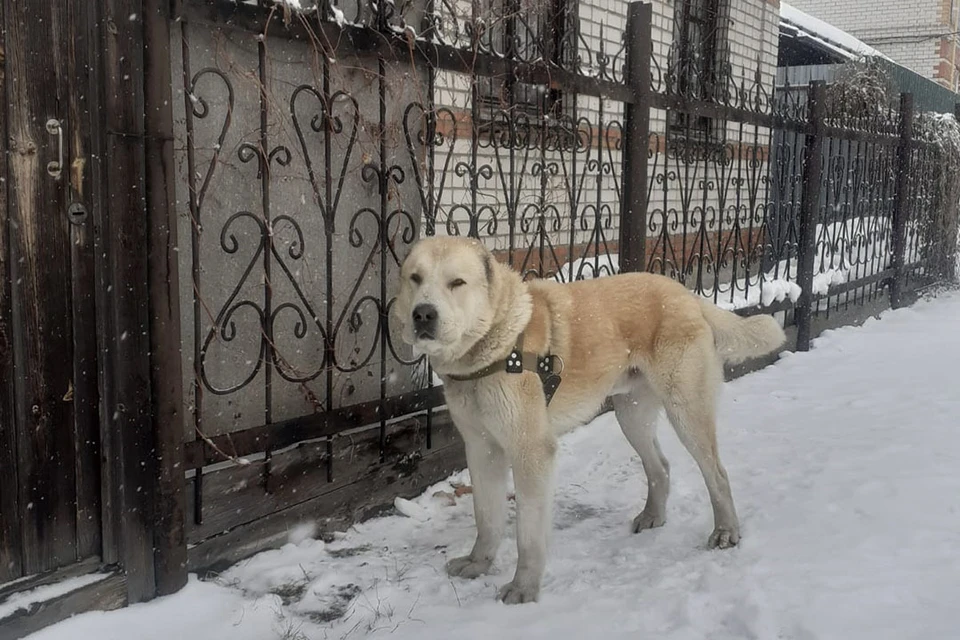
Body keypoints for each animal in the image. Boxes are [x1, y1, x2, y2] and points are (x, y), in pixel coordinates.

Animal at [394, 236, 784, 604]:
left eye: (457, 283)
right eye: (415, 278)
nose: (423, 314)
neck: (493, 343)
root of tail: (686, 294)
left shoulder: (531, 452)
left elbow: (527, 532)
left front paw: (524, 589)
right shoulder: (481, 449)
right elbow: (486, 516)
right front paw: (478, 564)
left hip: (686, 410)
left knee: (716, 472)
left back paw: (726, 531)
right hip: (632, 414)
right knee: (660, 466)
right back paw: (653, 516)